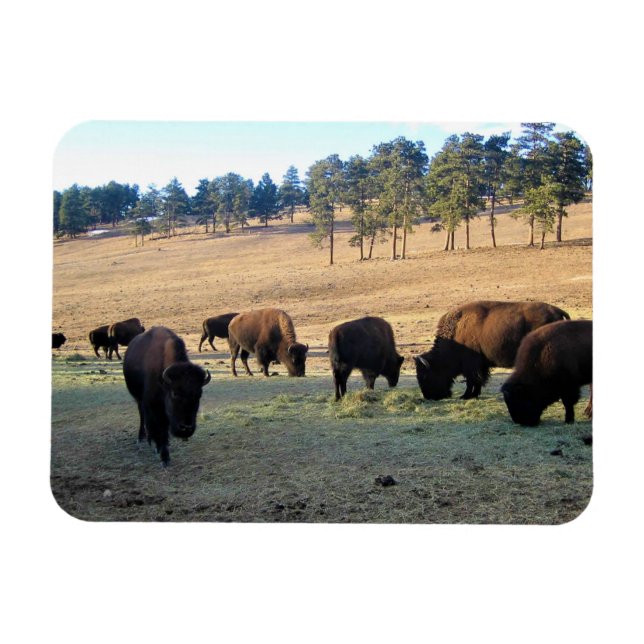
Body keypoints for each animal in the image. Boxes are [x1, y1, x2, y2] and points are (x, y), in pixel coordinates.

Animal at [123, 326, 211, 465]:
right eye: (174, 393)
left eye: (199, 394)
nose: (186, 428)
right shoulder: (154, 406)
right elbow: (160, 428)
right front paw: (164, 457)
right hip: (139, 399)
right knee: (143, 416)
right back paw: (143, 438)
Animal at [414, 300, 570, 400]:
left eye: (424, 376)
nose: (429, 397)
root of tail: (558, 311)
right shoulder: (481, 365)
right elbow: (478, 380)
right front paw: (474, 394)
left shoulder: (471, 365)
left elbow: (471, 380)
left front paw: (465, 396)